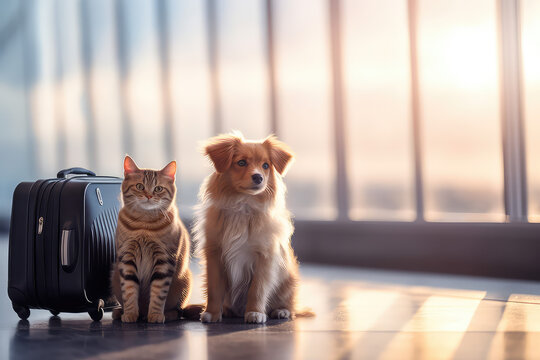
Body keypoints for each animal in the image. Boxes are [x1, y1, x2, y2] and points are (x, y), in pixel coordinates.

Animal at [109, 155, 194, 324]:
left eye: (158, 189)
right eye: (140, 186)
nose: (148, 195)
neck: (144, 225)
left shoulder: (164, 260)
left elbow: (158, 292)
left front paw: (155, 315)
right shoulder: (127, 259)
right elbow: (129, 290)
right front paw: (130, 314)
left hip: (184, 281)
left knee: (178, 311)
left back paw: (167, 315)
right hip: (115, 275)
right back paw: (121, 312)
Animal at [193, 131, 308, 324]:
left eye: (266, 165)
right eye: (241, 162)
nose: (258, 177)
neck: (243, 205)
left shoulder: (265, 257)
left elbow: (257, 289)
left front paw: (255, 312)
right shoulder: (214, 254)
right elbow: (214, 289)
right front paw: (212, 313)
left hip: (288, 282)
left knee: (290, 305)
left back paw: (281, 311)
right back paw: (227, 311)